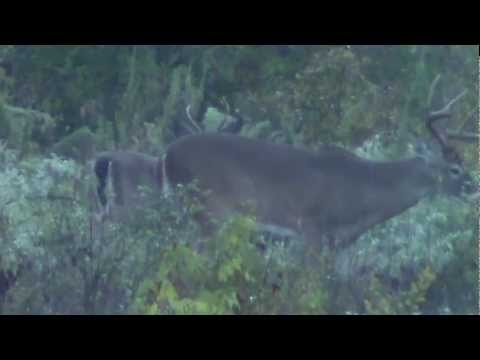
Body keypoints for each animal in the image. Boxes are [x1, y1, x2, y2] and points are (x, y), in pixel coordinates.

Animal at [93, 76, 476, 253]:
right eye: (454, 168)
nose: (474, 189)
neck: (364, 191)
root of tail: (165, 157)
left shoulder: (341, 244)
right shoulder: (311, 230)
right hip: (208, 213)